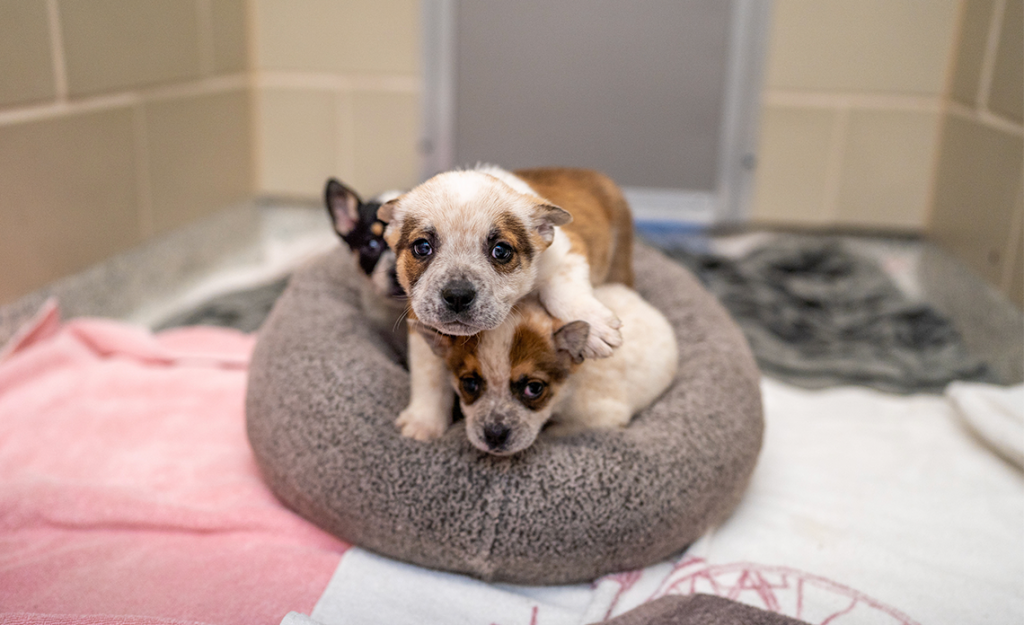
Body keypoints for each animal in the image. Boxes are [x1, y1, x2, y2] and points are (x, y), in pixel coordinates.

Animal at [376, 163, 630, 438]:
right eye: (422, 247)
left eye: (501, 251)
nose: (457, 295)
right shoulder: (420, 321)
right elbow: (428, 371)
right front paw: (423, 421)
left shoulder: (567, 253)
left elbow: (564, 289)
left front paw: (594, 325)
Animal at [411, 282, 675, 452]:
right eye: (469, 383)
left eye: (534, 388)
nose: (494, 435)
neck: (568, 391)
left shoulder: (602, 417)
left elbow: (560, 430)